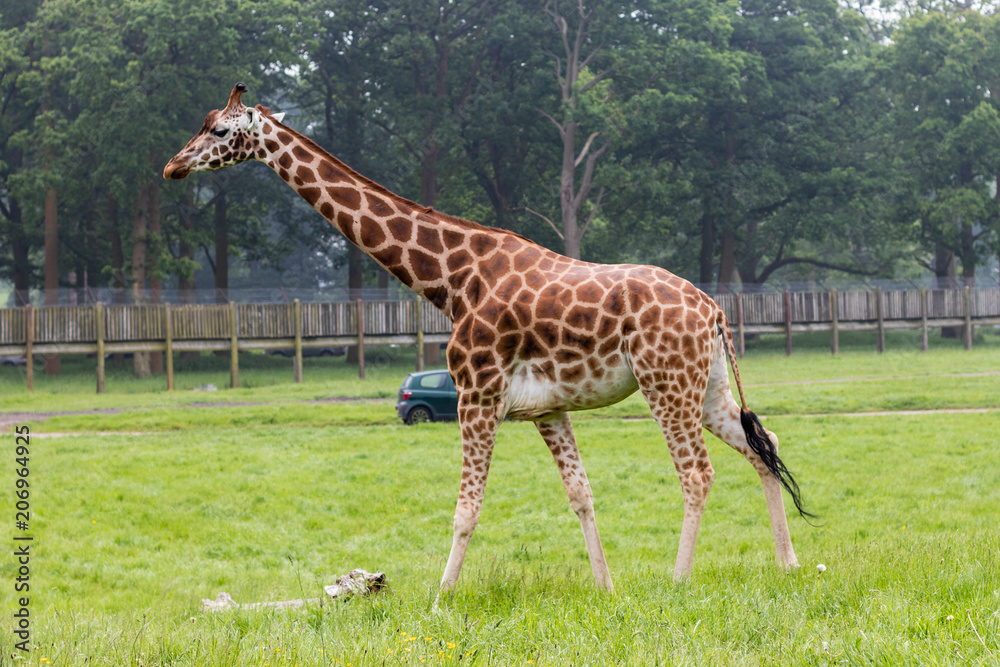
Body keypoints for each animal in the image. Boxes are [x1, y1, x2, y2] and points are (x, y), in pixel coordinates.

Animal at [160, 85, 808, 600]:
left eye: (219, 130)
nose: (172, 167)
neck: (450, 280)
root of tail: (714, 310)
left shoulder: (477, 392)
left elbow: (465, 508)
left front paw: (440, 598)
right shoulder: (547, 408)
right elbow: (581, 495)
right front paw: (606, 587)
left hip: (665, 382)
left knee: (697, 473)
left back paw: (678, 580)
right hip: (707, 386)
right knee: (764, 444)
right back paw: (789, 564)